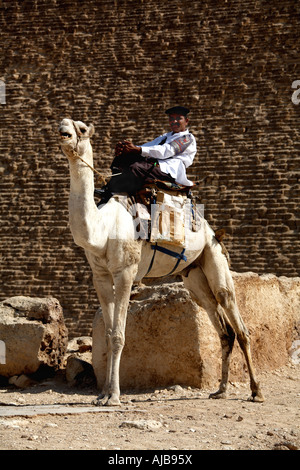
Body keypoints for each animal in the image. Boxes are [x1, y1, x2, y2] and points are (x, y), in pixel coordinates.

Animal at [59, 118, 264, 408]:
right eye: (63, 123)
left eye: (82, 129)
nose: (63, 129)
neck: (102, 228)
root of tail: (212, 231)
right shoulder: (100, 276)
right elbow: (108, 334)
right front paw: (102, 394)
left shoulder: (126, 272)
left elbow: (118, 336)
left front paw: (114, 396)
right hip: (194, 276)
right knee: (222, 327)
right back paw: (221, 390)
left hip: (214, 256)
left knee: (235, 317)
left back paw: (256, 391)